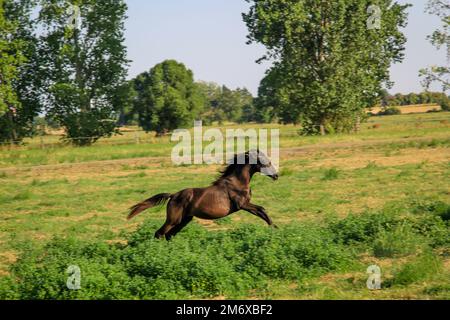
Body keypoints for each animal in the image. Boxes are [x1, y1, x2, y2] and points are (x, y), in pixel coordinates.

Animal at [126, 150, 280, 240]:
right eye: (264, 161)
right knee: (160, 233)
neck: (237, 182)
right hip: (173, 219)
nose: (276, 175)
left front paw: (275, 228)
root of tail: (173, 195)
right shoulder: (242, 205)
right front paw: (274, 229)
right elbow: (261, 210)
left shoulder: (245, 205)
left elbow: (261, 211)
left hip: (185, 220)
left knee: (169, 235)